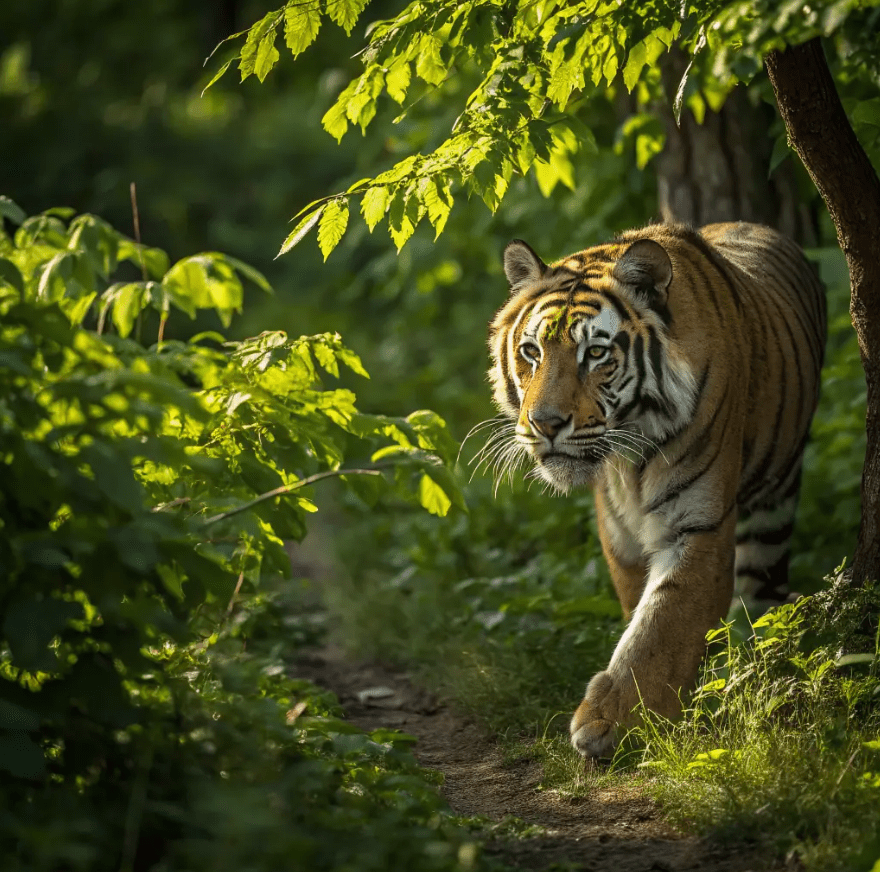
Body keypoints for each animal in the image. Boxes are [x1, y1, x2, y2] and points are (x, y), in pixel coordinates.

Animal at [487, 222, 826, 758]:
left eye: (595, 353)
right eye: (531, 352)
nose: (545, 424)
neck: (630, 454)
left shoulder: (698, 524)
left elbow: (661, 627)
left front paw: (610, 724)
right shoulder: (618, 536)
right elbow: (638, 612)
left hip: (775, 507)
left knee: (763, 602)